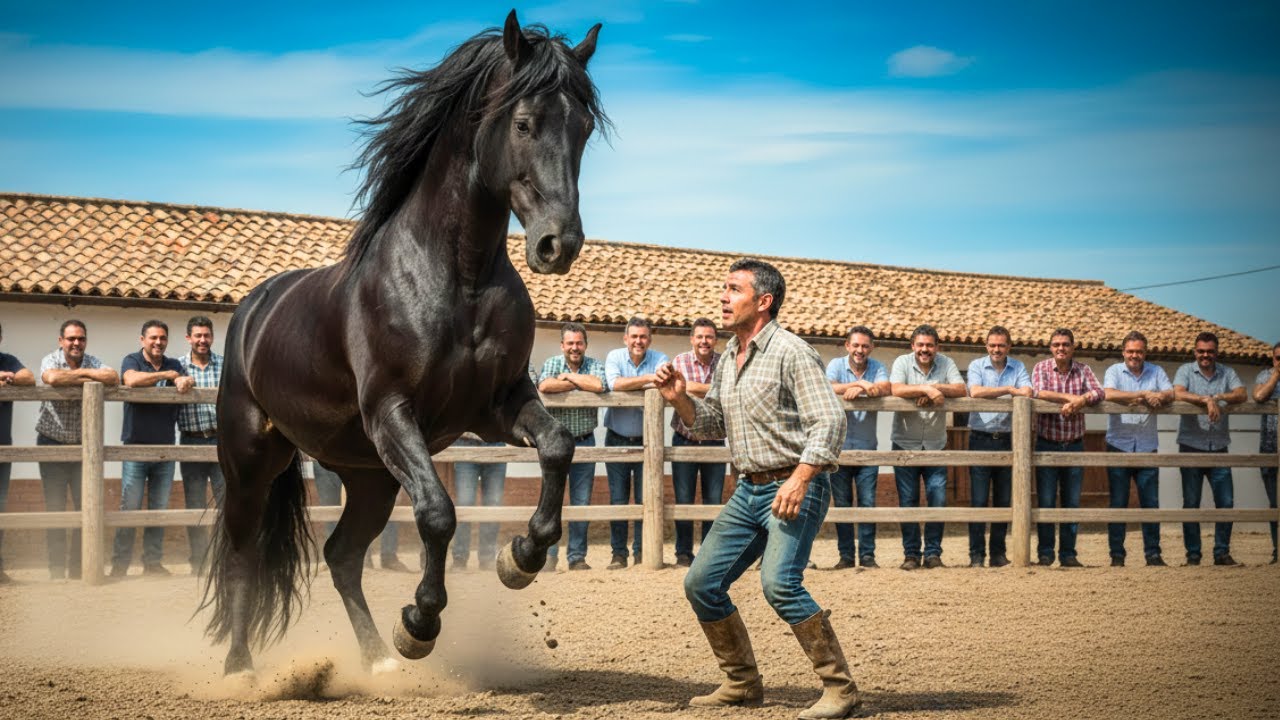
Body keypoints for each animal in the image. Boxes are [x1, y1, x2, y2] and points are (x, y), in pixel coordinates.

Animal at [199, 10, 609, 677]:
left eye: (584, 128)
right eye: (524, 123)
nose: (558, 245)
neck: (457, 278)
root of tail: (252, 309)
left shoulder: (494, 406)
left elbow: (557, 448)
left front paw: (519, 558)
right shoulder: (393, 411)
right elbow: (439, 514)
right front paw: (419, 622)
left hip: (367, 473)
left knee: (341, 555)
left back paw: (376, 661)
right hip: (250, 460)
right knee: (242, 555)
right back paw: (241, 670)